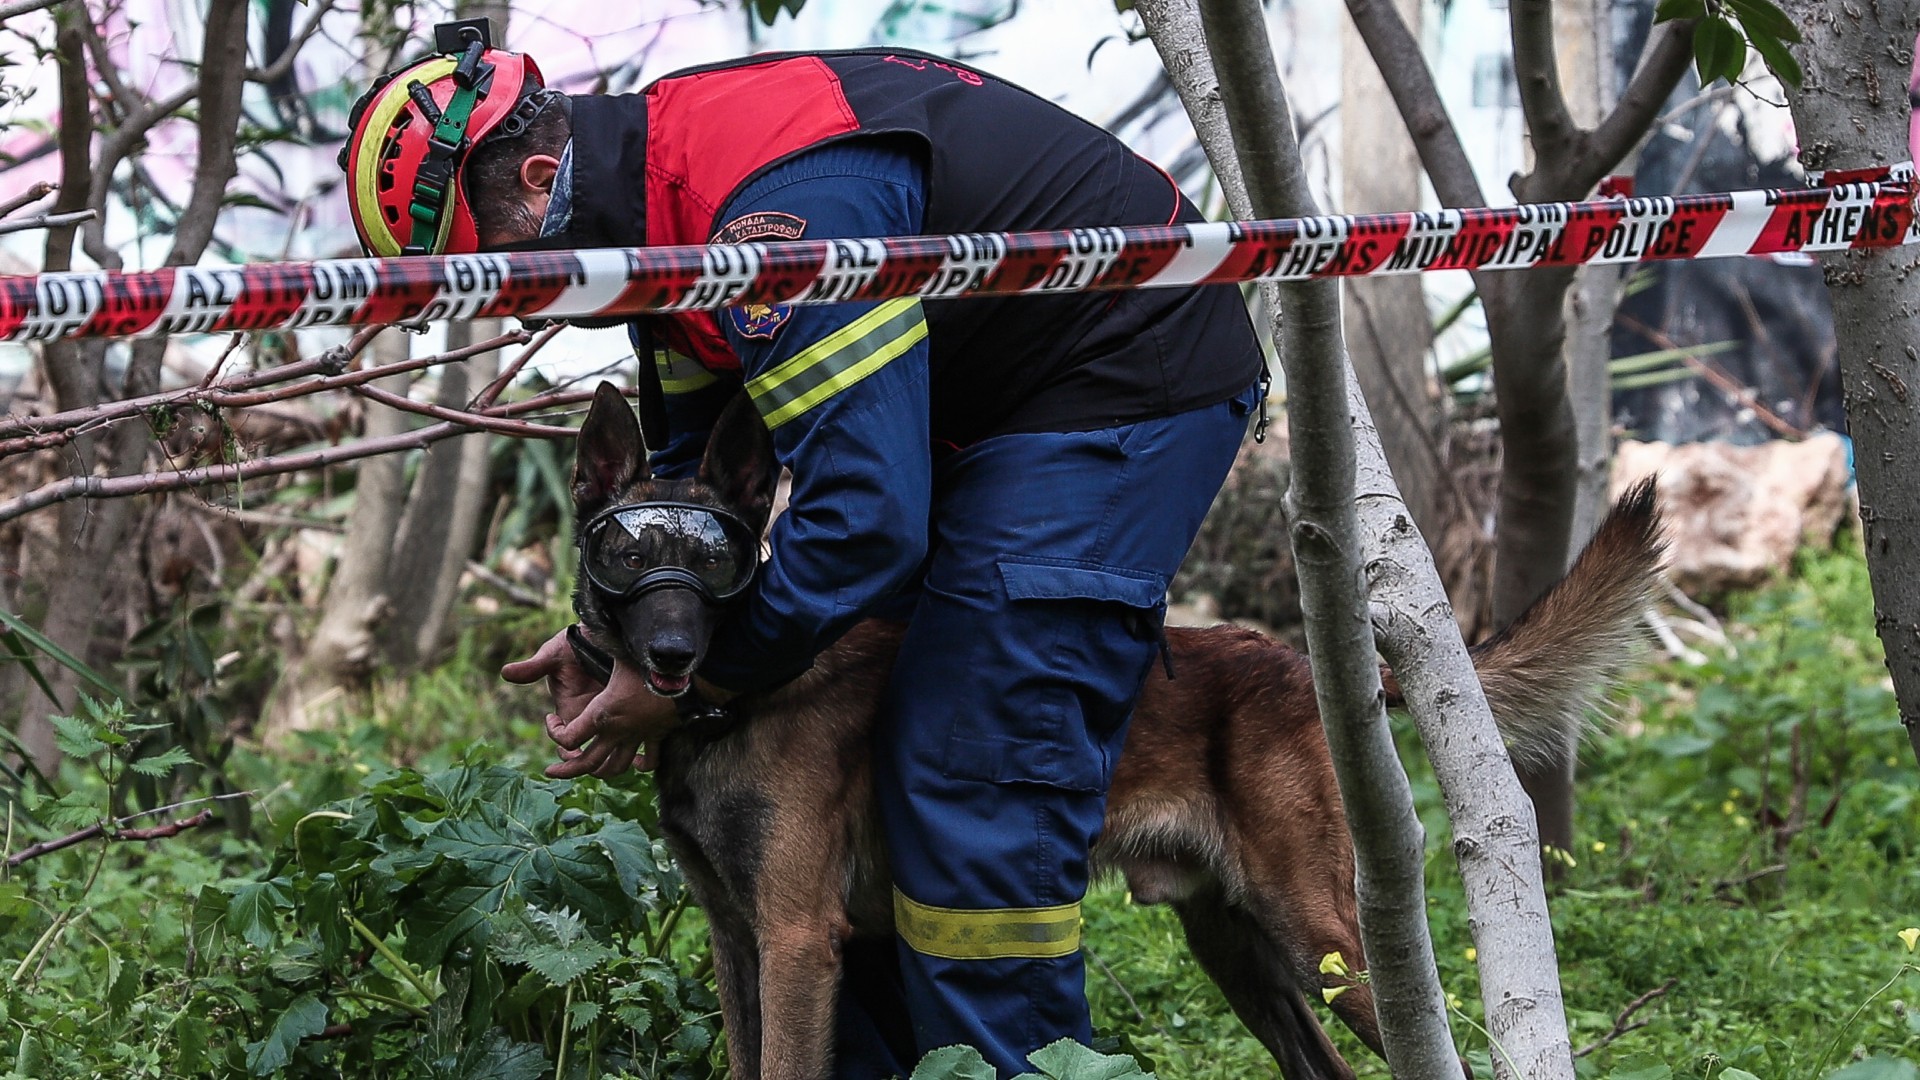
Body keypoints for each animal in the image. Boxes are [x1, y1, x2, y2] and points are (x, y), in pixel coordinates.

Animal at [568, 380, 1666, 1076]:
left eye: (714, 562)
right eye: (626, 555)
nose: (670, 655)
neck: (741, 699)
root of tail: (1296, 665)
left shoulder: (798, 939)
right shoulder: (735, 937)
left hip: (1323, 938)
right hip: (1240, 952)